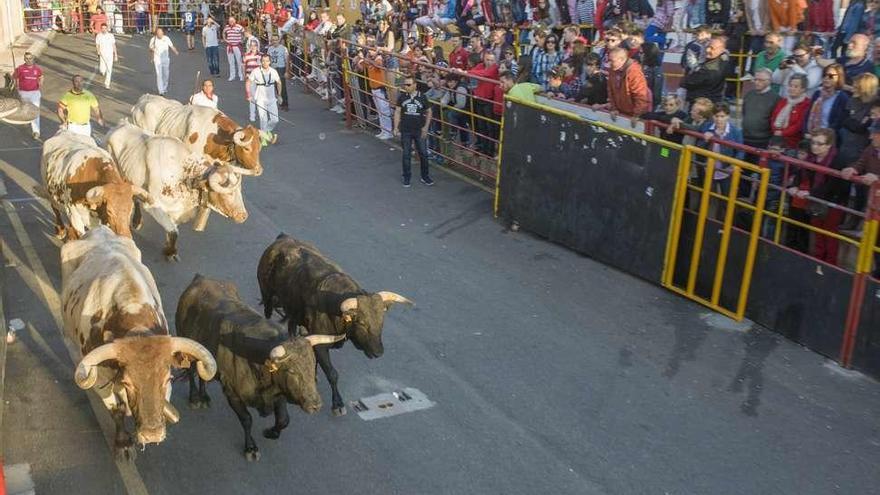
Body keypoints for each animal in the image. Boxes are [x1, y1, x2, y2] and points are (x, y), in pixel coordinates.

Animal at [61, 227, 217, 464]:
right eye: (128, 382)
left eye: (168, 378)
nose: (152, 434)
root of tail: (98, 231)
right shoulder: (102, 379)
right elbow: (116, 409)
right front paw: (123, 443)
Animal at [108, 120, 251, 262]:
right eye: (229, 192)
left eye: (239, 192)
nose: (244, 216)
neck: (185, 175)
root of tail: (122, 124)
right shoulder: (153, 206)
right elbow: (174, 231)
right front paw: (171, 251)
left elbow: (171, 230)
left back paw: (136, 221)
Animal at [177, 276, 342, 462]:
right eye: (291, 371)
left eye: (313, 365)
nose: (315, 405)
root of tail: (200, 278)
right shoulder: (232, 393)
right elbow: (247, 420)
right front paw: (250, 448)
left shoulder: (279, 393)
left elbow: (284, 419)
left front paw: (271, 432)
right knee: (191, 372)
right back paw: (195, 398)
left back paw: (204, 397)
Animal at [258, 234, 412, 416]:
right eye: (361, 322)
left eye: (381, 320)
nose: (378, 352)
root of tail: (283, 237)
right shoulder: (321, 346)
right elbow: (332, 374)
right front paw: (337, 404)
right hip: (267, 296)